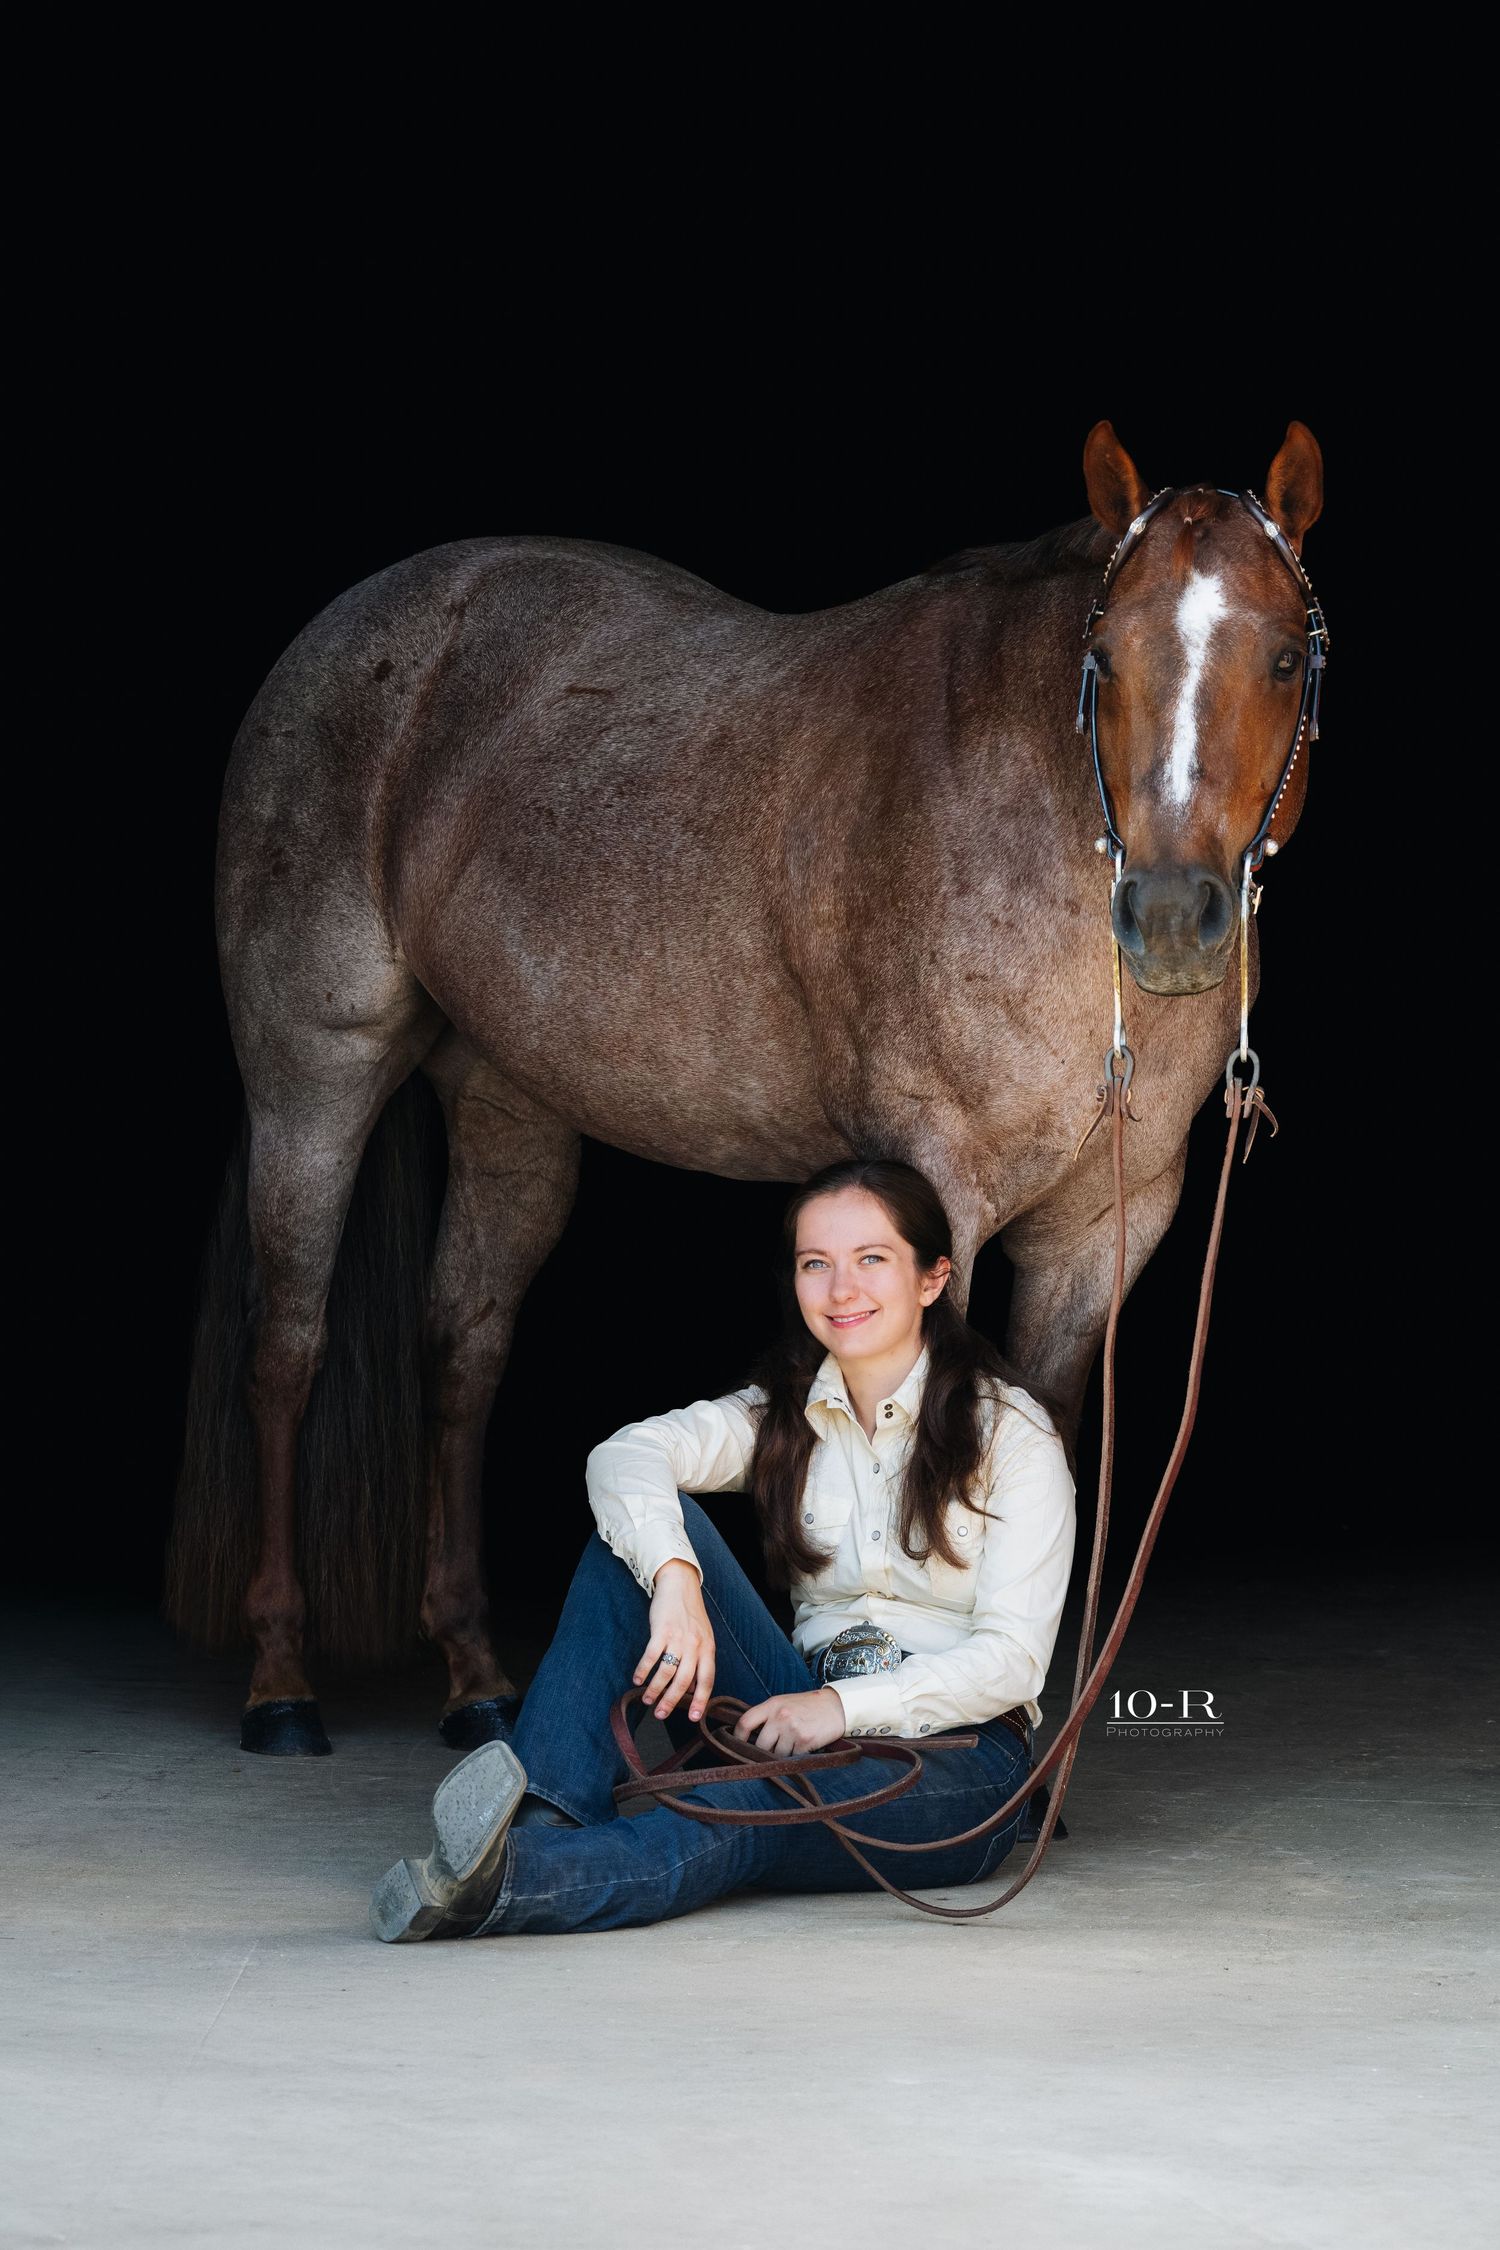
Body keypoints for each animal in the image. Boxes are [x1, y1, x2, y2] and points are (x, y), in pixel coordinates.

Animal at [167, 419, 1326, 1755]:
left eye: (1284, 657)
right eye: (1103, 659)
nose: (1174, 919)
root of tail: (352, 627)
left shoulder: (1105, 1230)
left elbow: (1041, 1438)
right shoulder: (934, 1183)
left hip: (509, 1107)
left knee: (462, 1345)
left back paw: (475, 1678)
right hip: (312, 1073)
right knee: (287, 1352)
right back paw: (281, 1684)